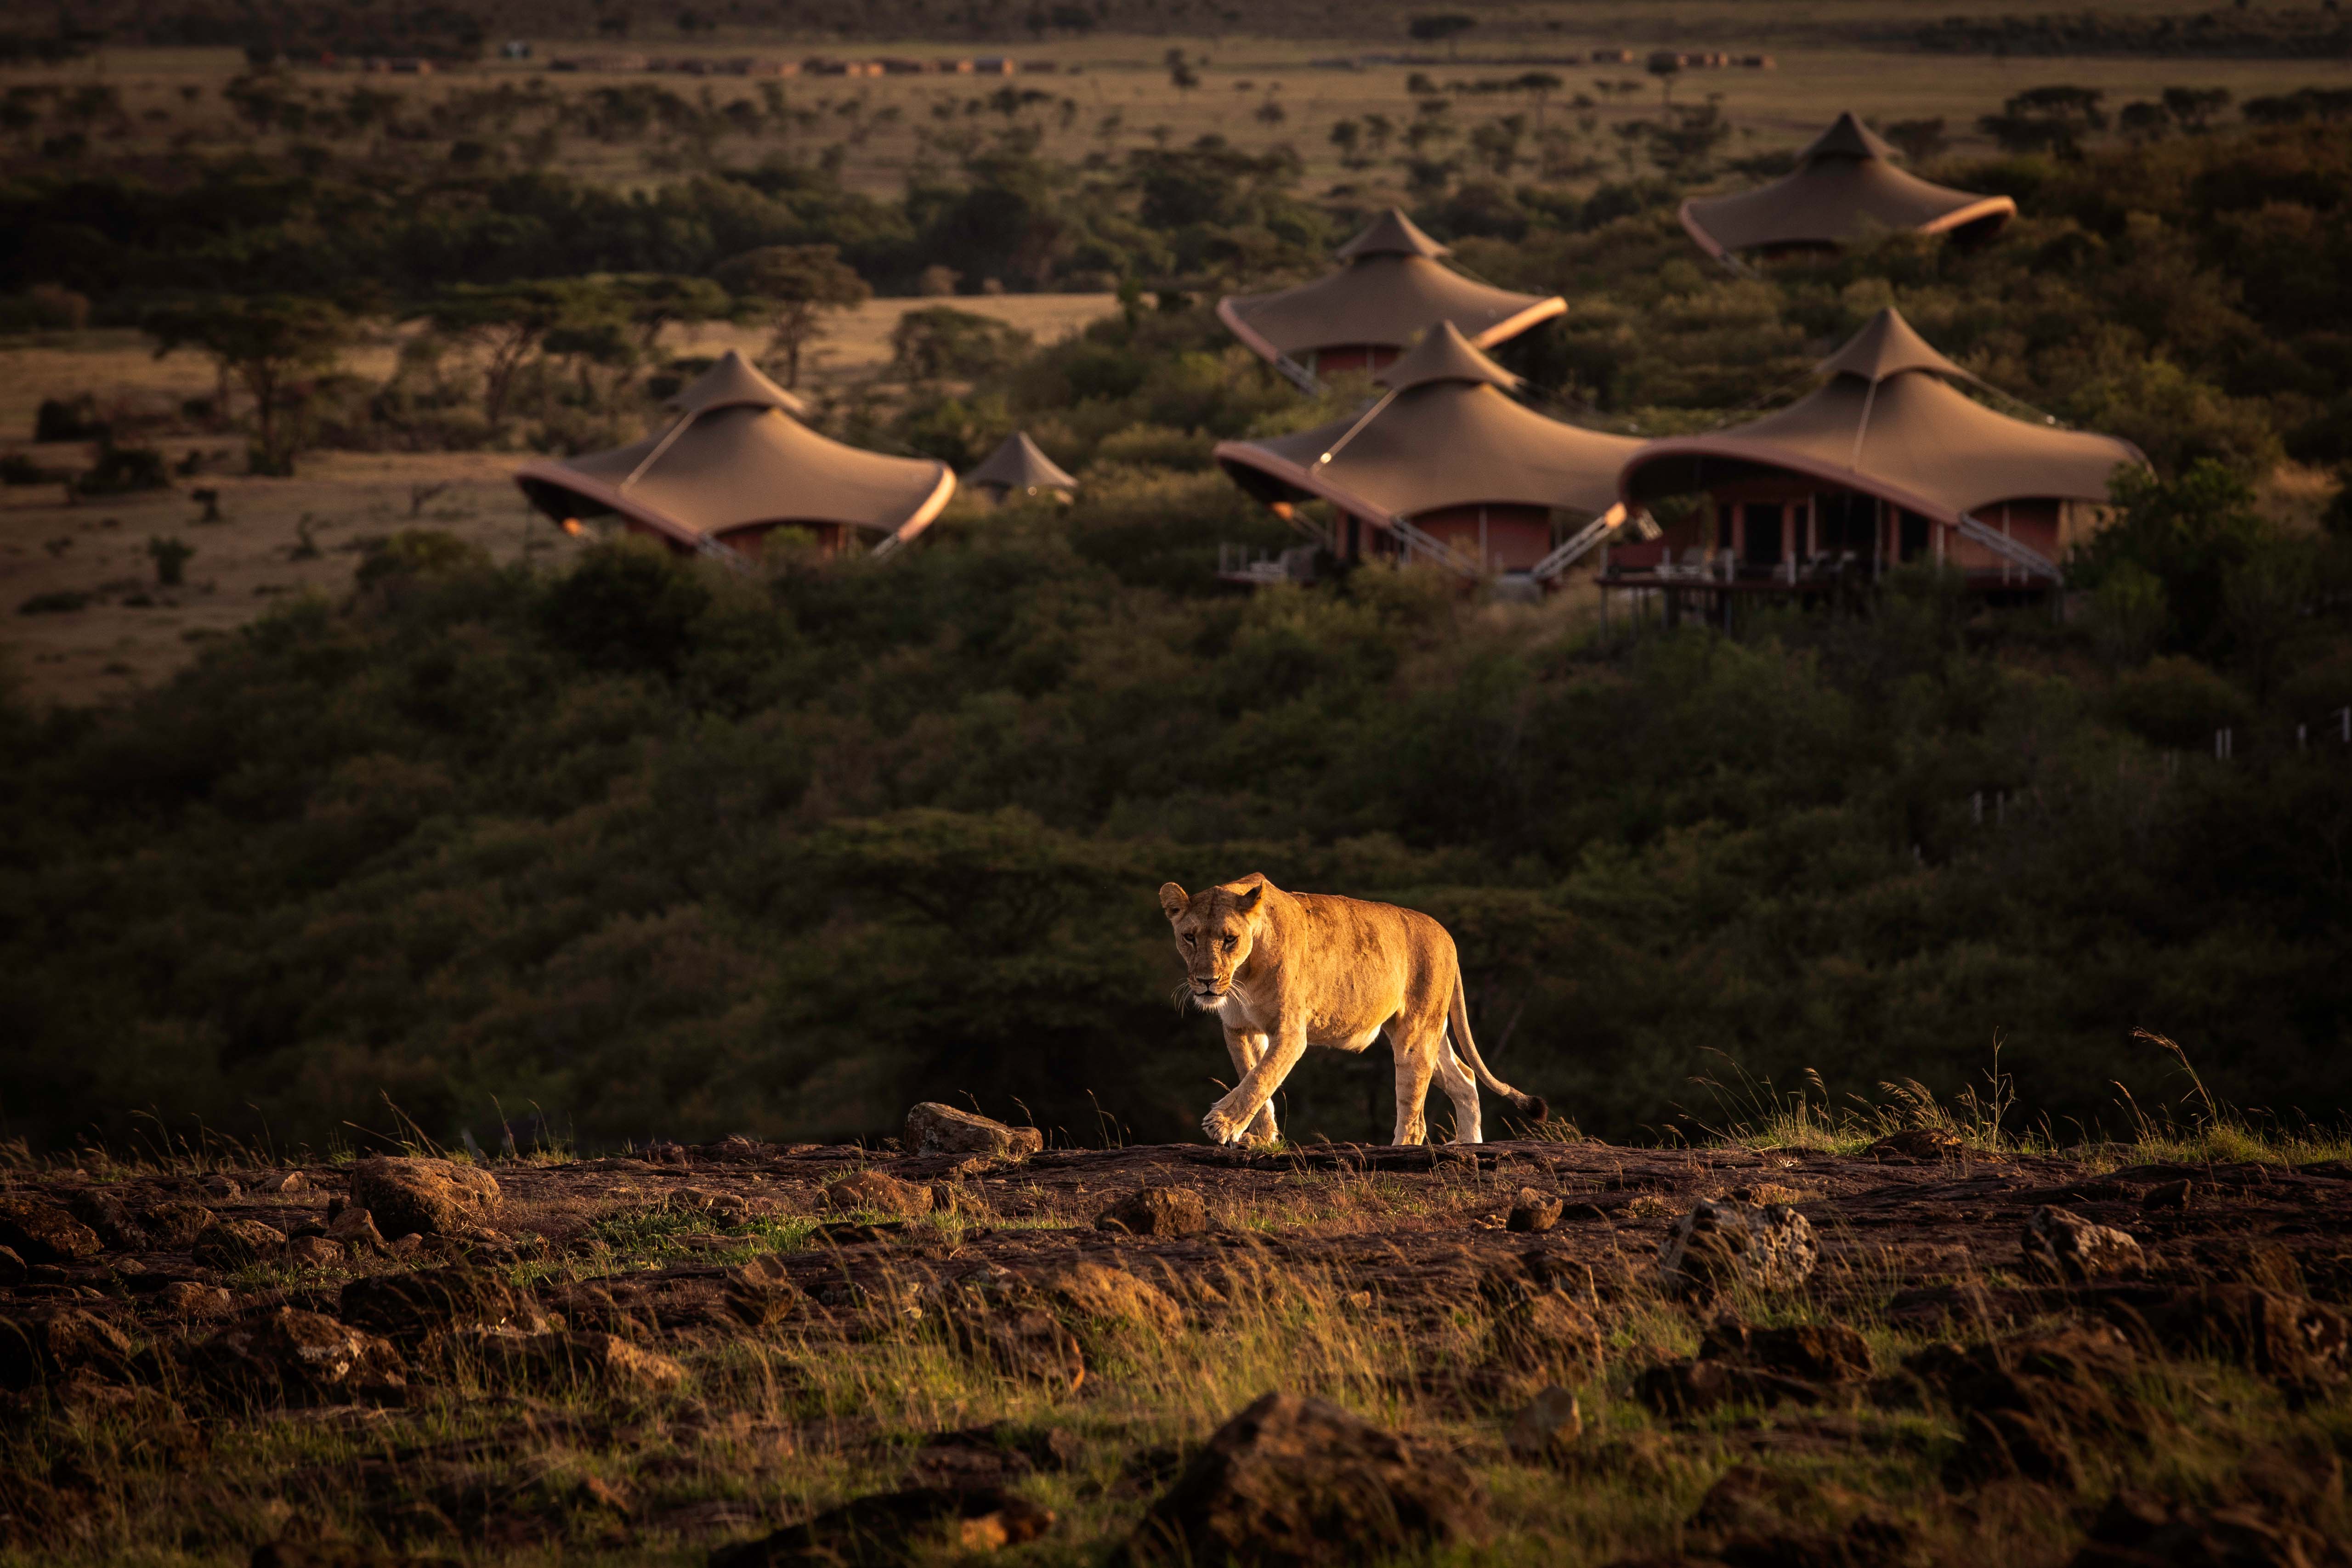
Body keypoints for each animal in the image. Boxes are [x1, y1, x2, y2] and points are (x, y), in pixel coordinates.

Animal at [1158, 873, 1548, 1147]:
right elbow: (1253, 1077)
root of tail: (1447, 936)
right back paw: (1468, 1145)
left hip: (1415, 1034)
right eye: (1189, 937)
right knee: (1465, 1078)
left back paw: (1403, 1150)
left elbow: (1260, 1078)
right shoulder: (1239, 1028)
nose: (1206, 981)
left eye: (1229, 939)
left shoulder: (1290, 1032)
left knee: (1415, 1116)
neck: (1243, 973)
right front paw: (1262, 1138)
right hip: (1430, 1033)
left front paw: (1221, 1124)